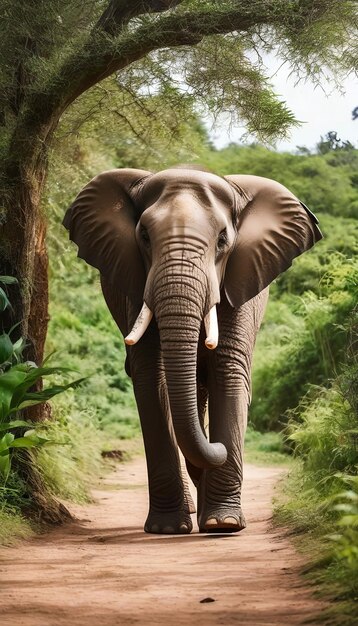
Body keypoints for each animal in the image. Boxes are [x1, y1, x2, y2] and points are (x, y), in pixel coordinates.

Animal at [63, 165, 324, 532]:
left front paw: (224, 523)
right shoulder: (134, 283)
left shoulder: (240, 280)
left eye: (223, 241)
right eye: (144, 237)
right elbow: (150, 377)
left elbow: (228, 369)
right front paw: (168, 528)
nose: (216, 447)